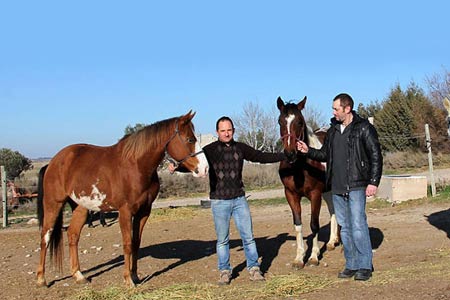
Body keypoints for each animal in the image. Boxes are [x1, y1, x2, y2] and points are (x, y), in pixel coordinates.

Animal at [36, 111, 208, 288]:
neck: (136, 166)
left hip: (80, 208)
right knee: (45, 237)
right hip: (53, 204)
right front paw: (128, 280)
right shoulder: (125, 211)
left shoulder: (143, 212)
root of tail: (53, 162)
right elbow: (127, 244)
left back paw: (78, 275)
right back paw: (41, 279)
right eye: (190, 139)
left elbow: (136, 243)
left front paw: (135, 276)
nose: (204, 169)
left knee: (73, 235)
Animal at [278, 97, 338, 268]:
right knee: (333, 210)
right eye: (280, 121)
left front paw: (313, 256)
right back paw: (332, 241)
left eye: (299, 121)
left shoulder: (315, 195)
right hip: (328, 191)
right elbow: (298, 225)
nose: (290, 153)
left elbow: (314, 224)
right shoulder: (291, 195)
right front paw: (299, 258)